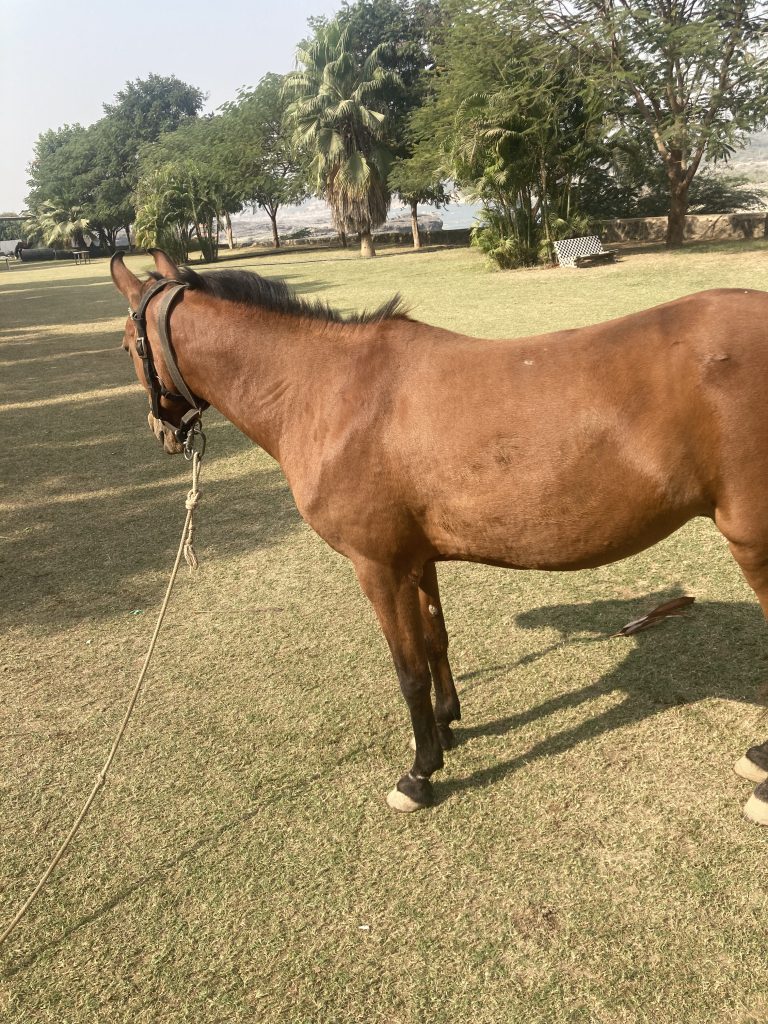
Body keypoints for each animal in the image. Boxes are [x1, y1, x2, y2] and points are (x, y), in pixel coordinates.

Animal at [111, 247, 768, 823]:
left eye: (124, 347)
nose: (162, 433)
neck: (328, 391)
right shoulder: (417, 559)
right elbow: (435, 643)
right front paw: (449, 724)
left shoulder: (377, 566)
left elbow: (408, 671)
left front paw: (419, 773)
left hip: (754, 543)